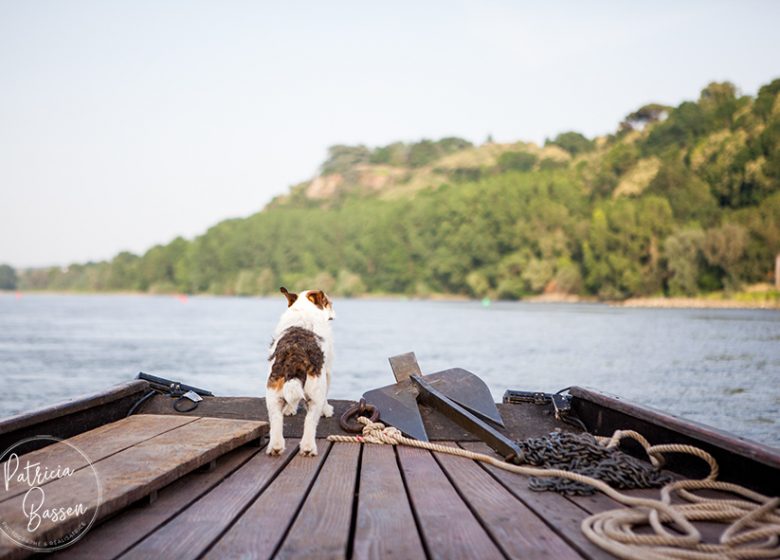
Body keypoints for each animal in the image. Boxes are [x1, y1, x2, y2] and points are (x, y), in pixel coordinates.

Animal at [266, 286, 334, 458]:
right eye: (328, 302)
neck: (304, 310)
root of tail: (296, 354)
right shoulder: (328, 372)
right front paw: (327, 410)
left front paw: (290, 409)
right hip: (316, 393)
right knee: (310, 422)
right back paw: (308, 447)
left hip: (272, 393)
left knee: (276, 420)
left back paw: (276, 446)